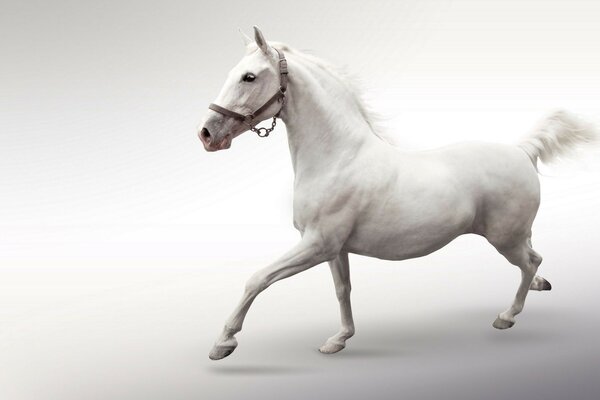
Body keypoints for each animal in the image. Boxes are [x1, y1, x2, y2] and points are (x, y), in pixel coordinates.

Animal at [199, 26, 596, 360]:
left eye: (249, 77)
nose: (206, 134)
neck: (337, 156)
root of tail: (522, 152)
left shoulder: (317, 244)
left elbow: (258, 279)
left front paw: (223, 343)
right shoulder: (334, 249)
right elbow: (343, 290)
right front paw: (339, 339)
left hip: (505, 238)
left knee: (529, 262)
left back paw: (507, 316)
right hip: (515, 234)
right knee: (535, 260)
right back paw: (539, 287)